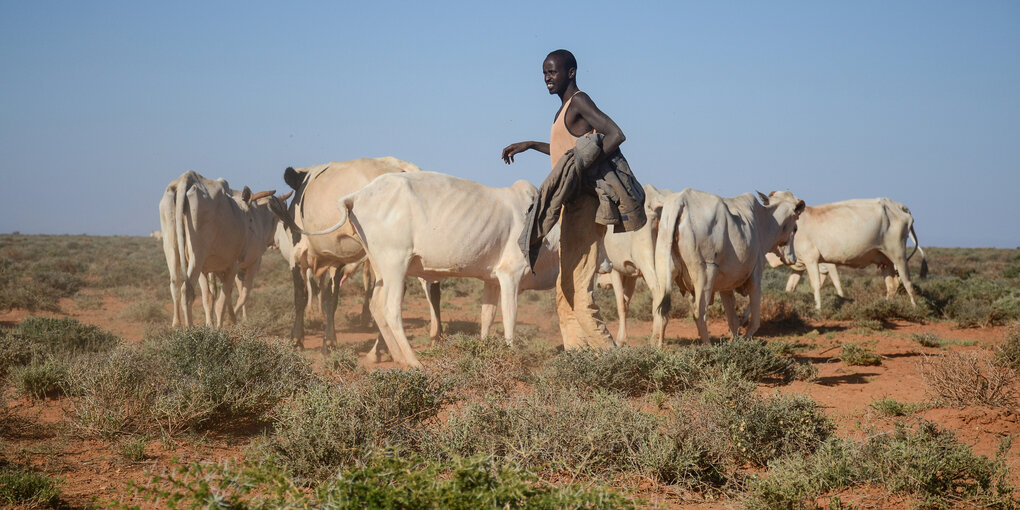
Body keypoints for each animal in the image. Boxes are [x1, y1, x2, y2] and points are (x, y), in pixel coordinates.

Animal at [158, 169, 283, 324]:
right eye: (274, 218)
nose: (273, 242)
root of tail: (187, 178)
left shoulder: (212, 268)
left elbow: (214, 297)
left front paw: (220, 323)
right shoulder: (239, 264)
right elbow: (227, 300)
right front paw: (225, 323)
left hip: (171, 245)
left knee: (175, 284)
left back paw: (176, 325)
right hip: (198, 254)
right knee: (187, 291)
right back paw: (190, 328)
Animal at [652, 189, 803, 344]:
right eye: (795, 228)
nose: (793, 258)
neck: (763, 220)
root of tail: (681, 200)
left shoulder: (726, 286)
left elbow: (732, 319)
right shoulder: (755, 276)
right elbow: (755, 320)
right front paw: (743, 340)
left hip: (664, 272)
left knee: (661, 312)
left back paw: (658, 346)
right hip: (706, 275)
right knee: (699, 313)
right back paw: (708, 346)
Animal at [767, 197, 926, 310]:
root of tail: (897, 205)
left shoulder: (812, 258)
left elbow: (818, 284)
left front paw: (818, 309)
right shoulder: (800, 265)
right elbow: (790, 287)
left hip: (898, 254)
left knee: (907, 282)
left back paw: (915, 308)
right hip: (885, 260)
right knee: (892, 284)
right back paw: (886, 306)